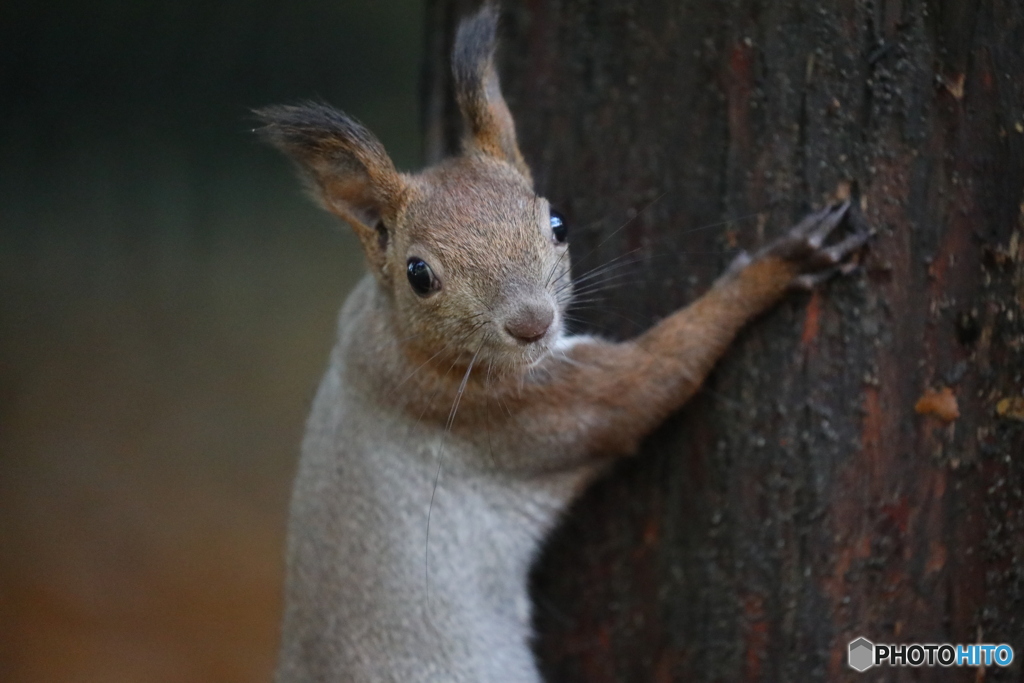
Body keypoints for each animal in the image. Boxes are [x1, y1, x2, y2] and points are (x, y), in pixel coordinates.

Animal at [251, 2, 868, 679]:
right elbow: (649, 383)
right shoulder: (516, 409)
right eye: (418, 274)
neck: (394, 339)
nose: (532, 323)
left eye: (557, 222)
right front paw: (777, 267)